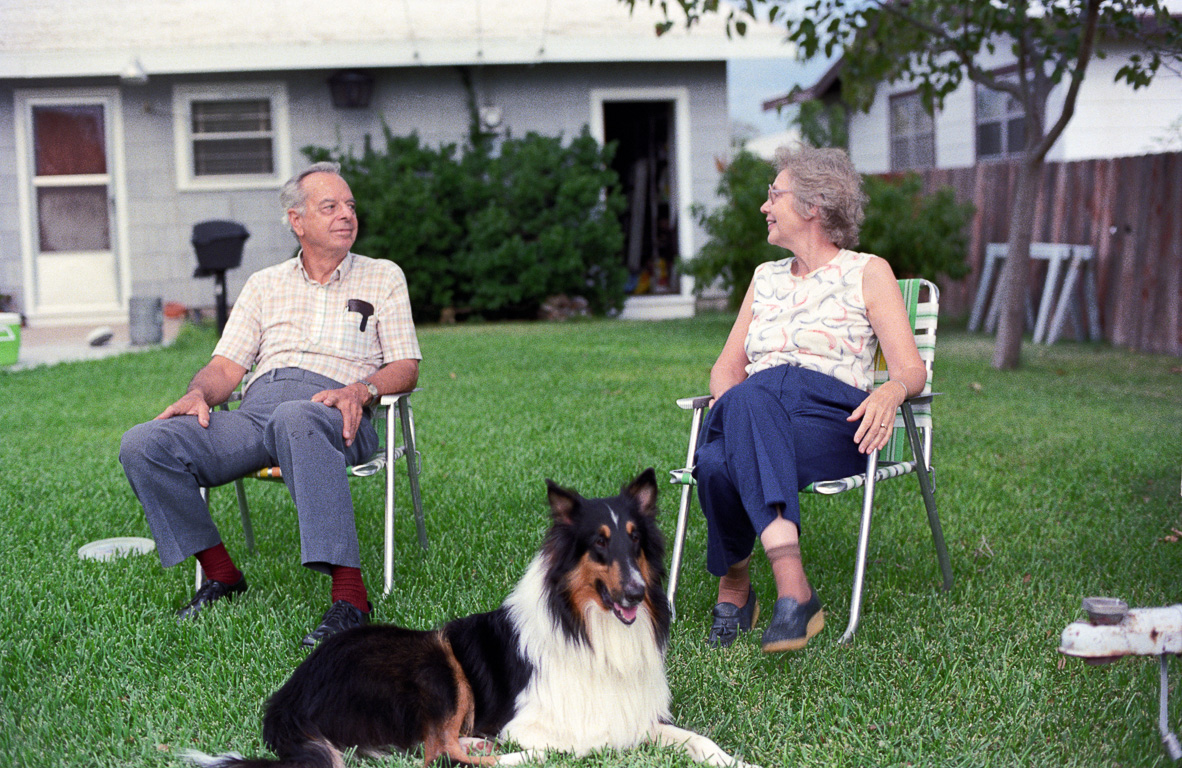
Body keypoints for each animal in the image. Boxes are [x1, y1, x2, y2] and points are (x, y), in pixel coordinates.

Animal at [184, 465, 756, 765]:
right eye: (599, 543)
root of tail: (288, 693)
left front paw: (739, 759)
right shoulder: (534, 721)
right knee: (437, 752)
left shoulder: (639, 711)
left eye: (636, 542)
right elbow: (580, 744)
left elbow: (699, 740)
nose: (637, 594)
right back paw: (492, 750)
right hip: (436, 660)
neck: (588, 627)